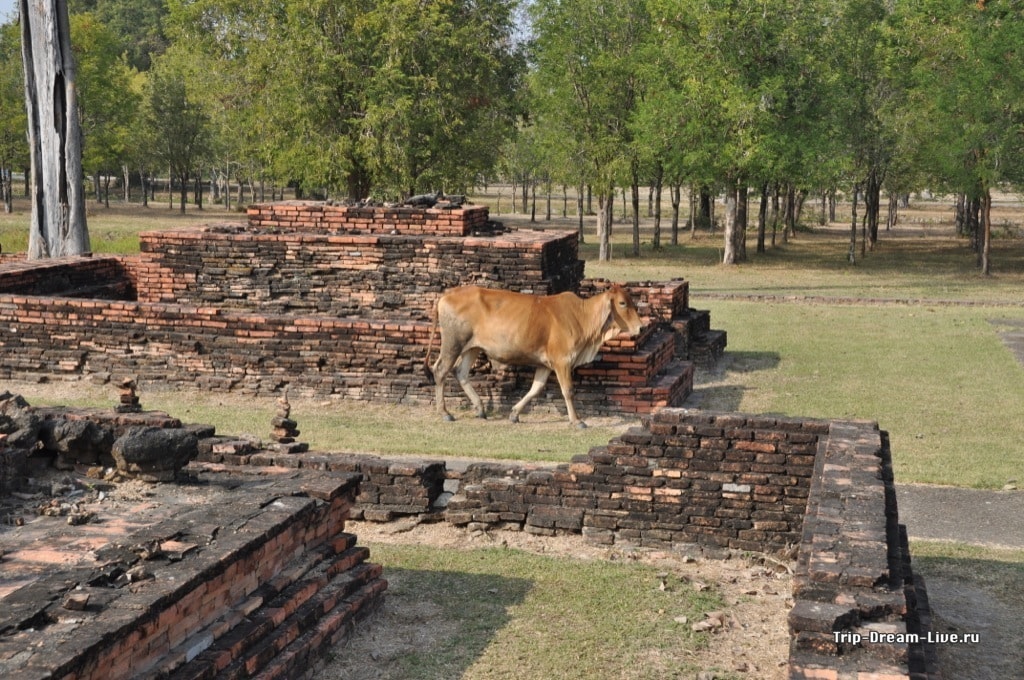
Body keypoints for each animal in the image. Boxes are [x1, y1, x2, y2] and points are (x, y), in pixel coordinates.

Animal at [421, 284, 638, 428]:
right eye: (622, 303)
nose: (640, 326)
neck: (581, 316)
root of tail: (447, 294)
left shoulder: (545, 364)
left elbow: (536, 389)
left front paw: (515, 414)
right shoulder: (562, 361)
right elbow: (568, 391)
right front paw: (577, 421)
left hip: (472, 348)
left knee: (461, 373)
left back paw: (480, 409)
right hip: (453, 344)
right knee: (440, 370)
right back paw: (445, 412)